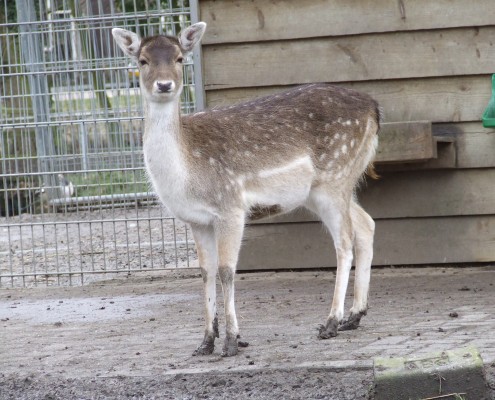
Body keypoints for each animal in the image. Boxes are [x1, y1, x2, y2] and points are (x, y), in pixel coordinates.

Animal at [112, 21, 382, 356]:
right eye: (142, 60)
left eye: (179, 58)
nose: (164, 85)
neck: (186, 174)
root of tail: (374, 109)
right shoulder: (197, 220)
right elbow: (205, 273)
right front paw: (205, 342)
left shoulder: (230, 206)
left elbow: (227, 270)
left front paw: (231, 341)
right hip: (330, 187)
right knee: (366, 224)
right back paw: (355, 316)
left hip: (335, 178)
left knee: (344, 241)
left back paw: (331, 322)